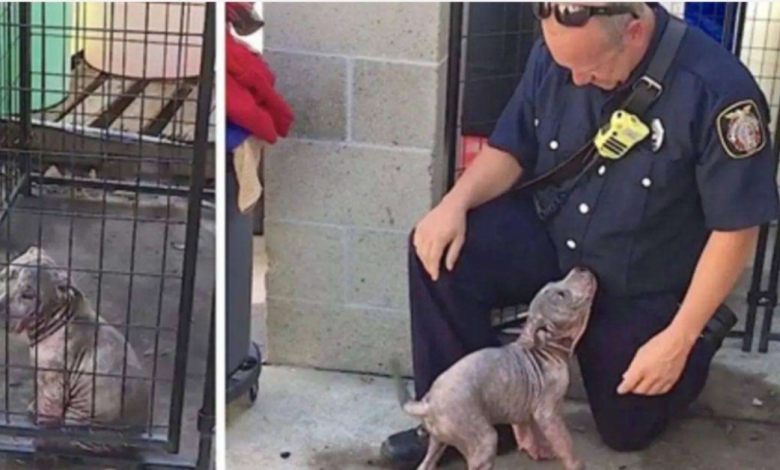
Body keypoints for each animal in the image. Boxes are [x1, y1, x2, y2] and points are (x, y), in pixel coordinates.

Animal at [0, 246, 151, 456]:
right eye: (5, 275)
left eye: (28, 295)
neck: (57, 314)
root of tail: (134, 441)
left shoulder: (53, 381)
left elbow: (48, 408)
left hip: (83, 419)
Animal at [394, 266, 596, 470]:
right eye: (561, 295)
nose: (581, 267)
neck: (546, 347)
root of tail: (429, 403)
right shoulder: (548, 413)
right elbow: (564, 442)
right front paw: (576, 463)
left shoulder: (526, 406)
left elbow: (527, 428)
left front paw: (536, 449)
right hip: (482, 439)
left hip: (438, 439)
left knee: (426, 463)